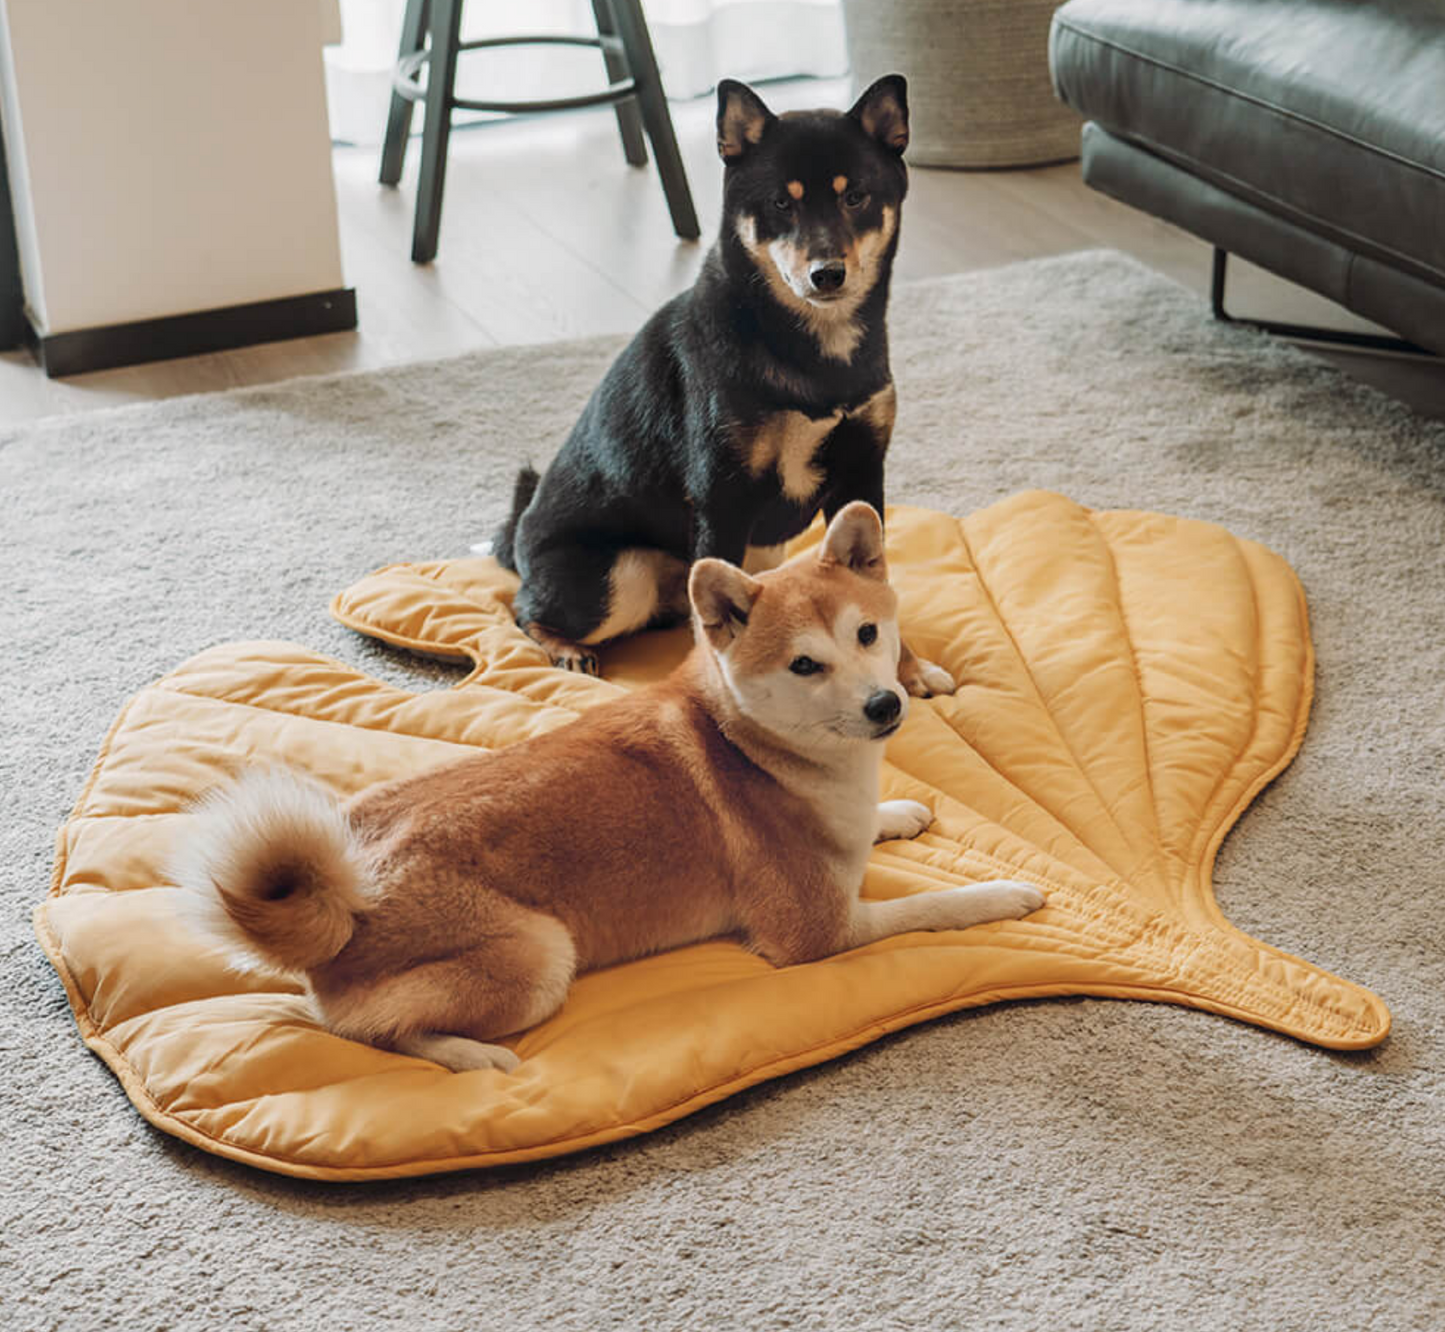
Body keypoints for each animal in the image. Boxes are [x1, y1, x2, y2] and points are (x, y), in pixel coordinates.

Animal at [174, 502, 1046, 1074]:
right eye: (805, 664)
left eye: (867, 634)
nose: (884, 704)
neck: (757, 747)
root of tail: (339, 904)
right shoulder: (815, 934)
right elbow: (935, 907)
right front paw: (1002, 894)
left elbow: (877, 824)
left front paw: (897, 812)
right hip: (538, 956)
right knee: (367, 1032)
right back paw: (472, 1057)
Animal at [491, 75, 953, 696]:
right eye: (782, 202)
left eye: (854, 196)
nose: (826, 273)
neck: (812, 350)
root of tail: (518, 532)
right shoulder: (722, 495)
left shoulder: (863, 469)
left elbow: (877, 589)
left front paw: (909, 667)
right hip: (620, 577)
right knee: (523, 608)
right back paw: (567, 649)